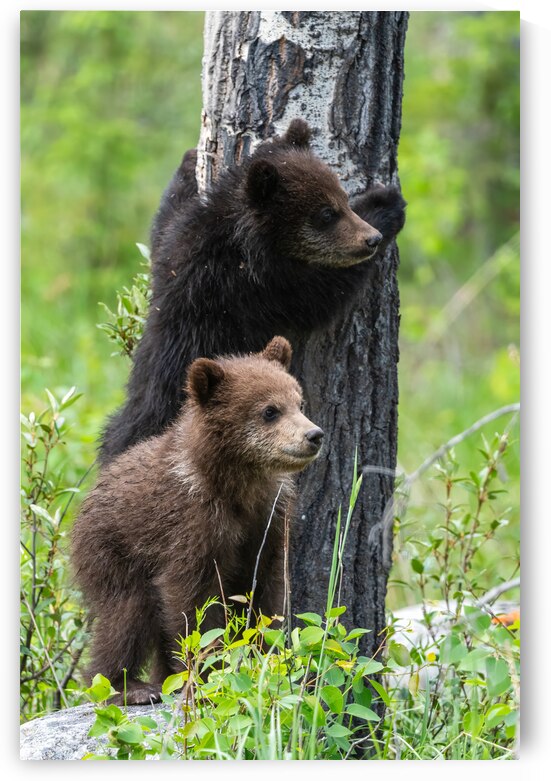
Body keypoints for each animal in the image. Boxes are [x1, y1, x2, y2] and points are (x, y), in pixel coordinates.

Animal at [71, 336, 323, 705]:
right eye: (269, 410)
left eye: (299, 401)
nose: (314, 435)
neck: (236, 485)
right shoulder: (192, 523)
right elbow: (192, 600)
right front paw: (208, 673)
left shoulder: (268, 519)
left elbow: (264, 590)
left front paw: (266, 660)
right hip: (112, 551)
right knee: (127, 613)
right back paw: (125, 686)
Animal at [99, 118, 406, 464]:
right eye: (327, 213)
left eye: (341, 196)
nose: (372, 239)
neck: (246, 241)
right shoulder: (250, 287)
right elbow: (319, 295)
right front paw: (385, 204)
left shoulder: (177, 247)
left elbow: (164, 224)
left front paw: (188, 164)